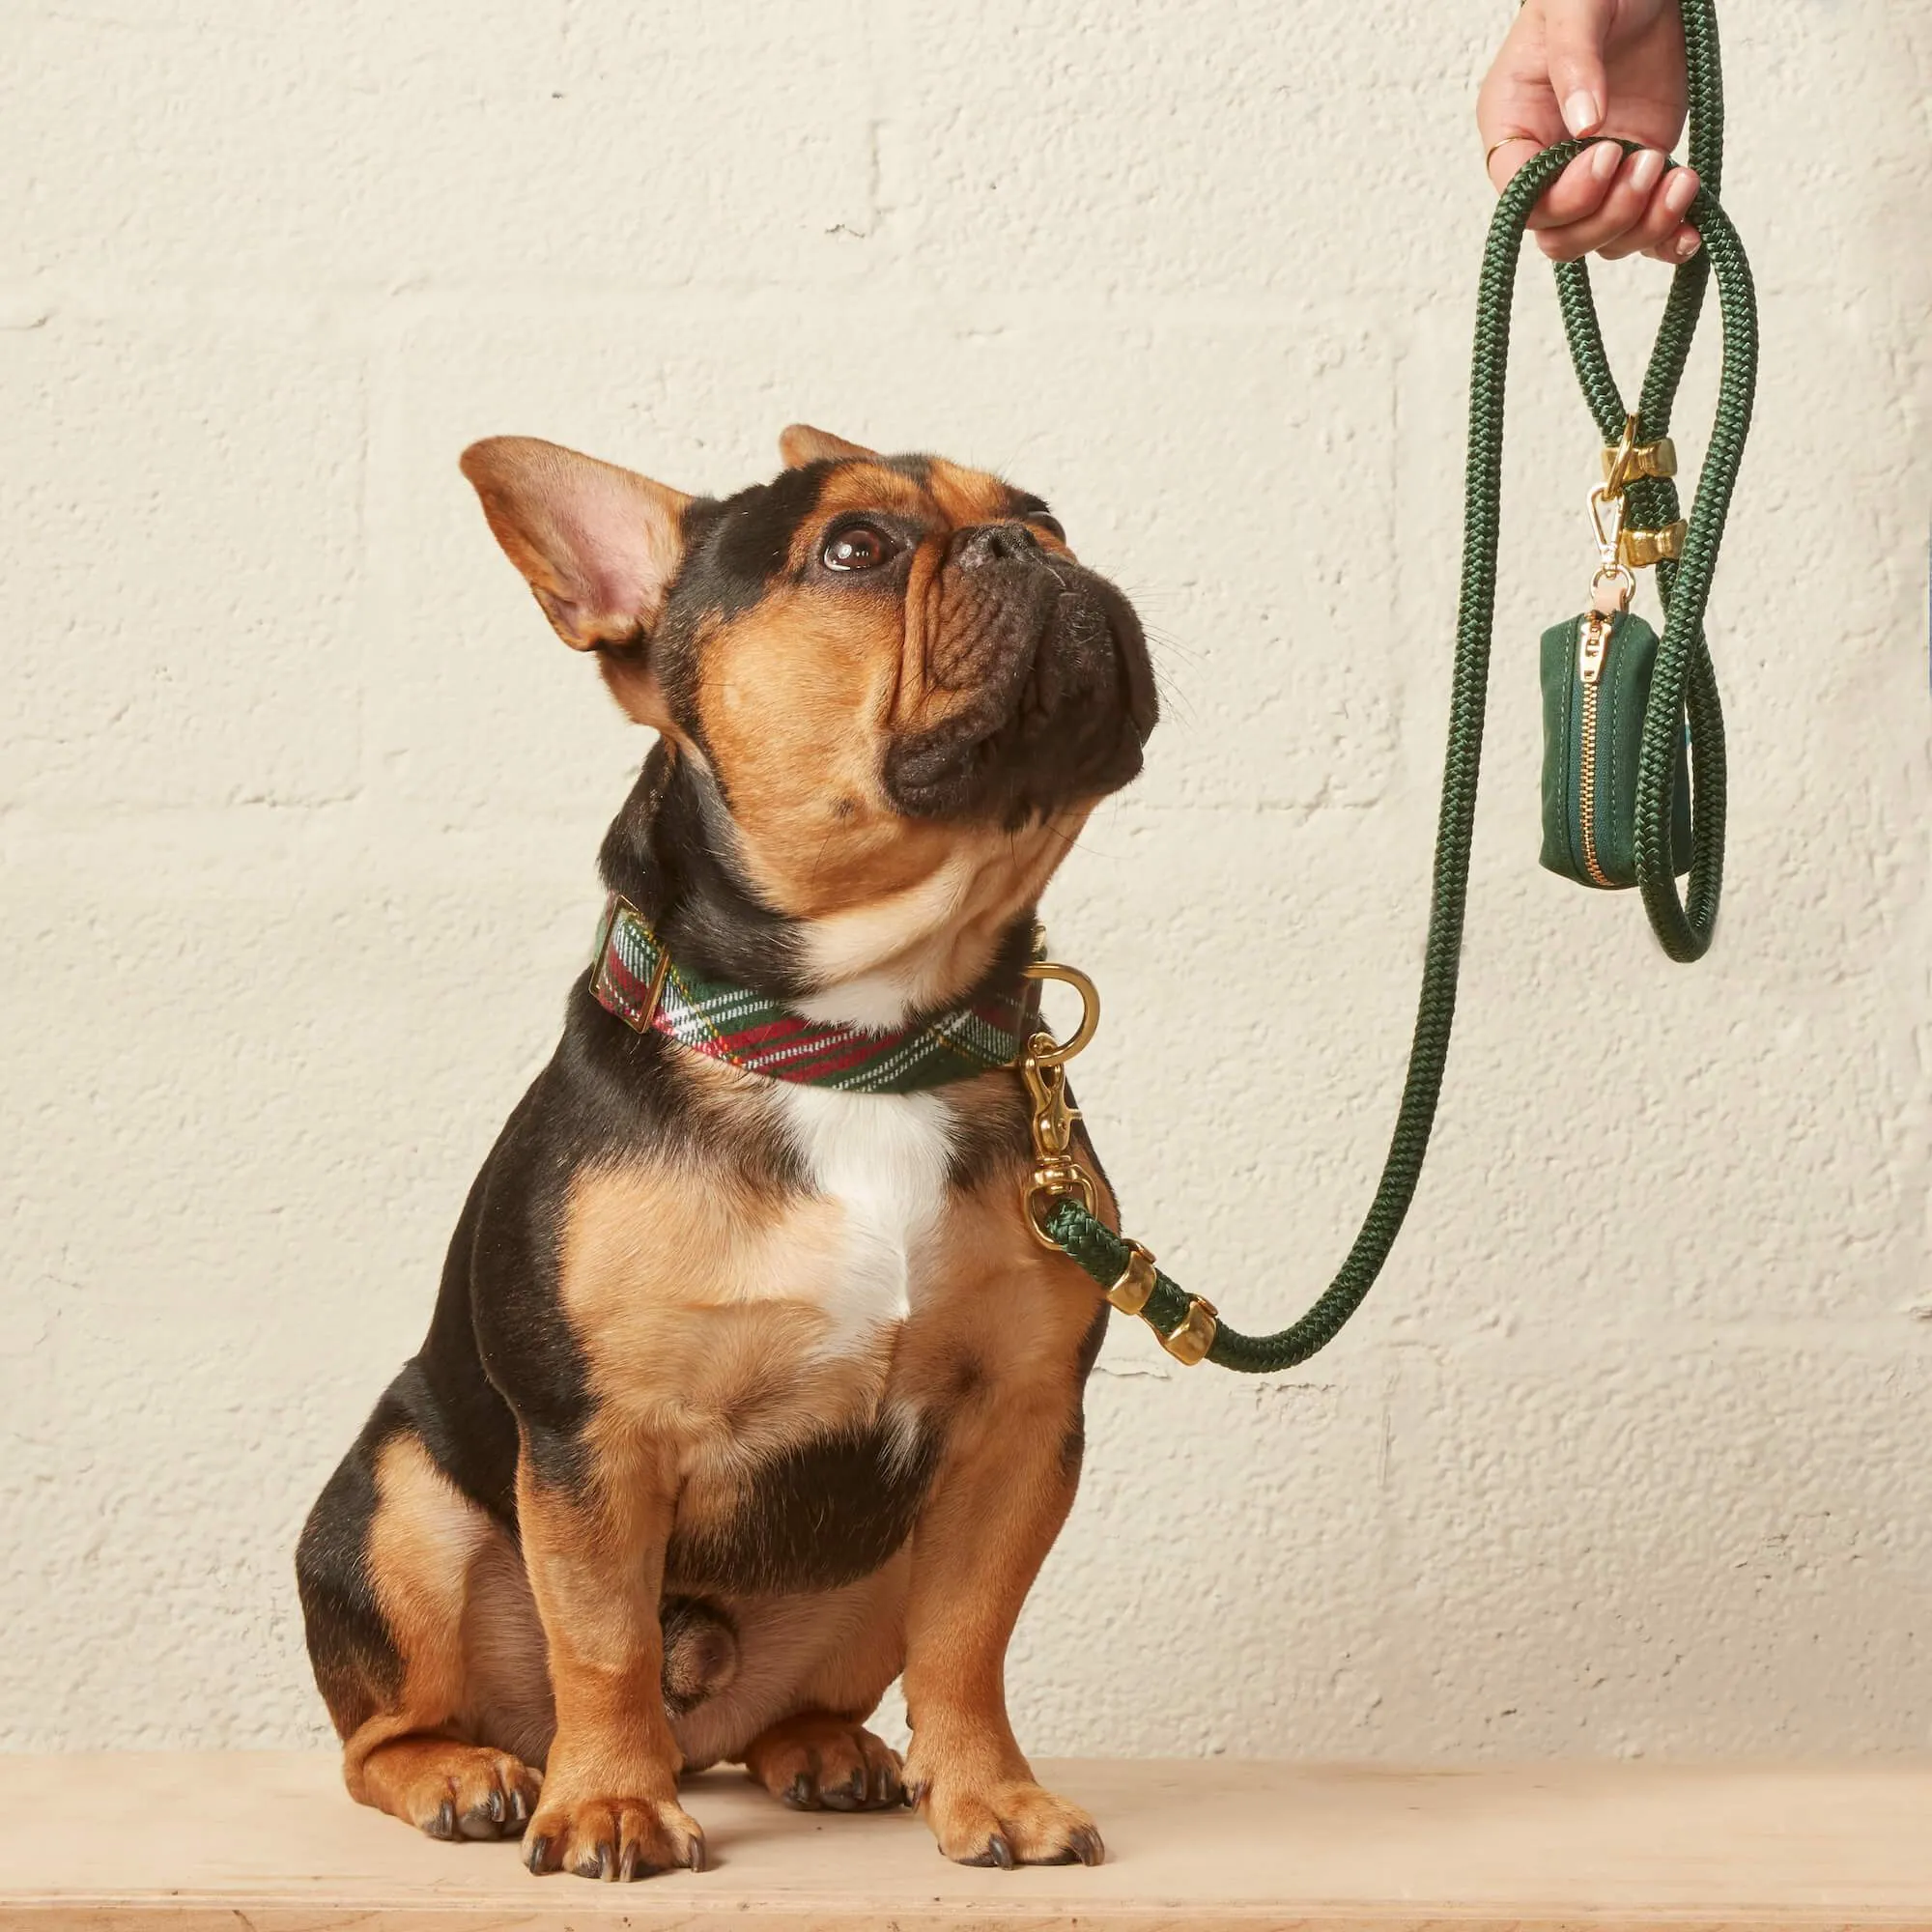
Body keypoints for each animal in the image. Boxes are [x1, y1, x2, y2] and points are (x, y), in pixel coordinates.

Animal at [294, 419, 1151, 1870]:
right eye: (855, 548)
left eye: (1048, 515)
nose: (1024, 547)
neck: (860, 1040)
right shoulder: (595, 1436)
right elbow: (601, 1646)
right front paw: (610, 1802)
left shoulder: (1019, 1424)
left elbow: (968, 1637)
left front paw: (992, 1792)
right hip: (396, 1508)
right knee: (388, 1733)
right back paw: (470, 1773)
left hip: (865, 1573)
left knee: (822, 1696)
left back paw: (830, 1751)